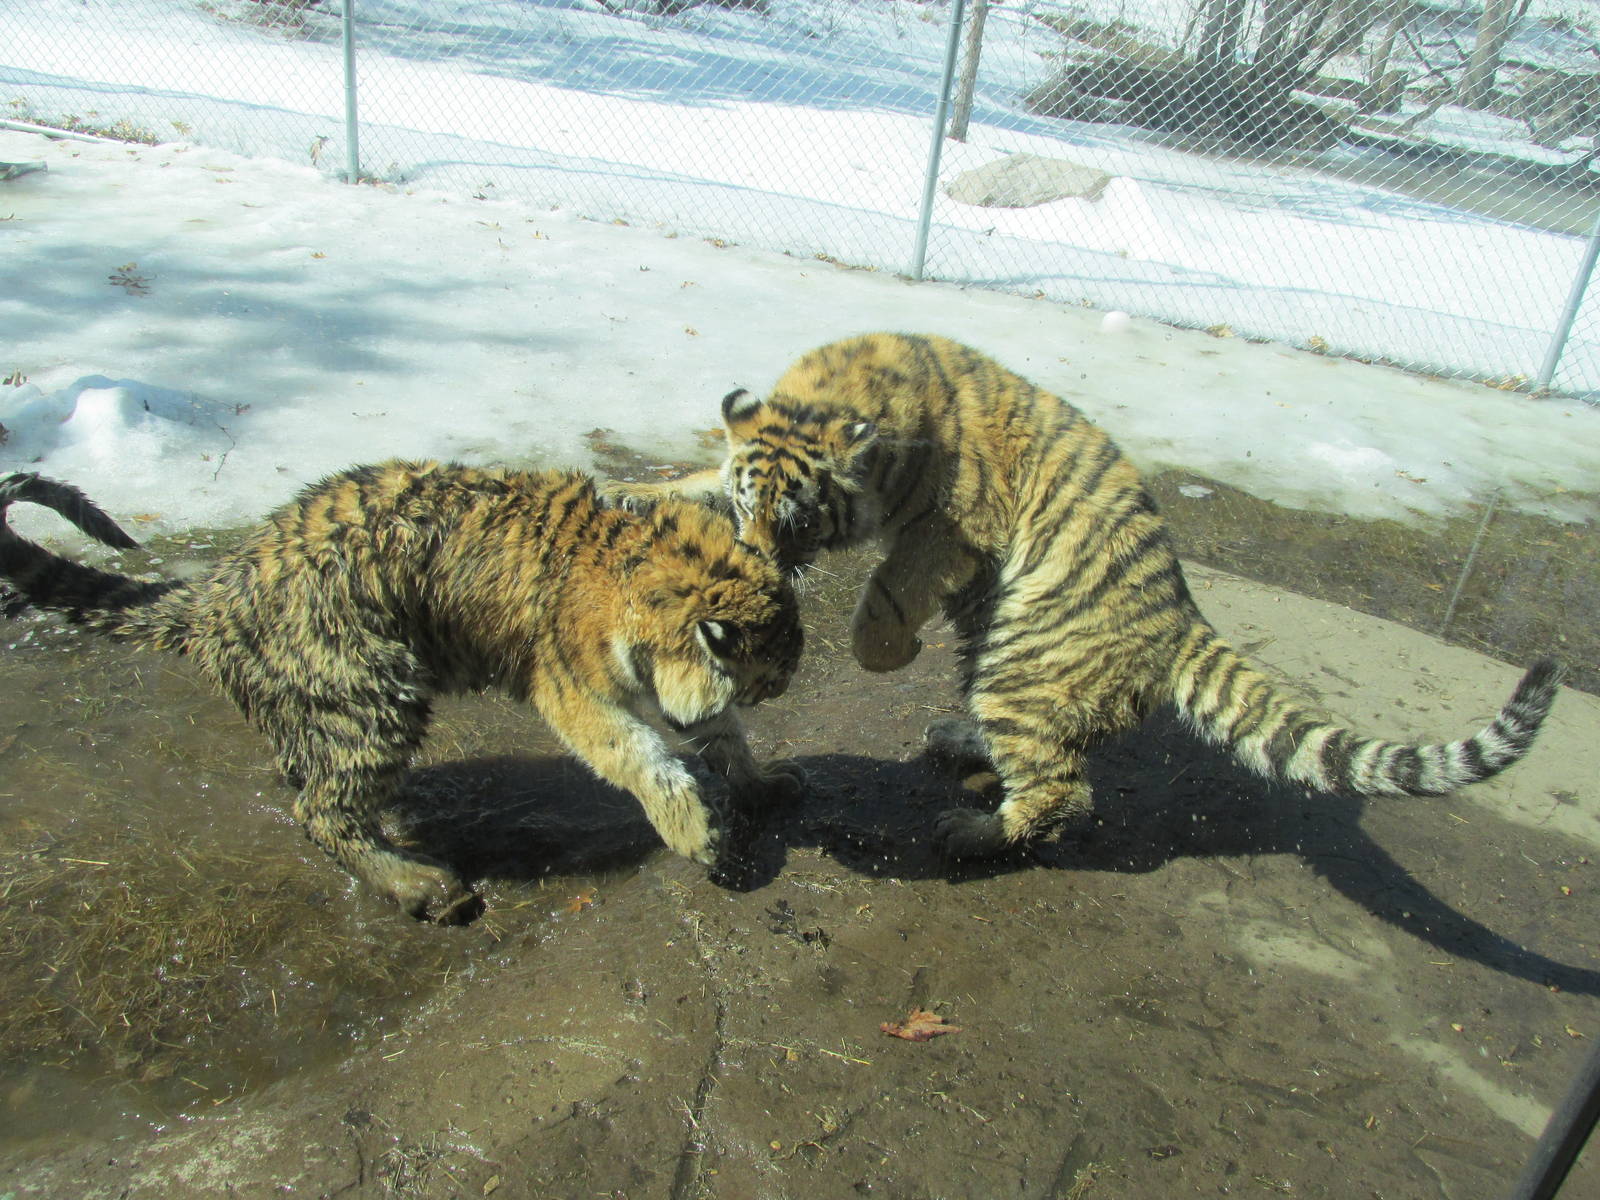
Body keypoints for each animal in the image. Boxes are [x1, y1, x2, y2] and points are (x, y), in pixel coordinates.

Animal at [0, 461, 803, 921]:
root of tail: (212, 596)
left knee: (313, 784)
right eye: (775, 672)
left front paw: (761, 786)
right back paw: (421, 887)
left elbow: (720, 734)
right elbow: (642, 754)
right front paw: (695, 831)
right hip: (369, 693)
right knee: (319, 813)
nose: (785, 687)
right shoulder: (571, 691)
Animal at [608, 332, 1564, 859]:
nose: (762, 567)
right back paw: (960, 743)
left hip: (1020, 656)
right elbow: (693, 481)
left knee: (1064, 792)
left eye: (801, 521)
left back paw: (971, 834)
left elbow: (889, 587)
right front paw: (635, 495)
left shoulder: (956, 523)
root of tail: (1182, 619)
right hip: (1000, 652)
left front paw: (883, 650)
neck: (842, 394)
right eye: (748, 508)